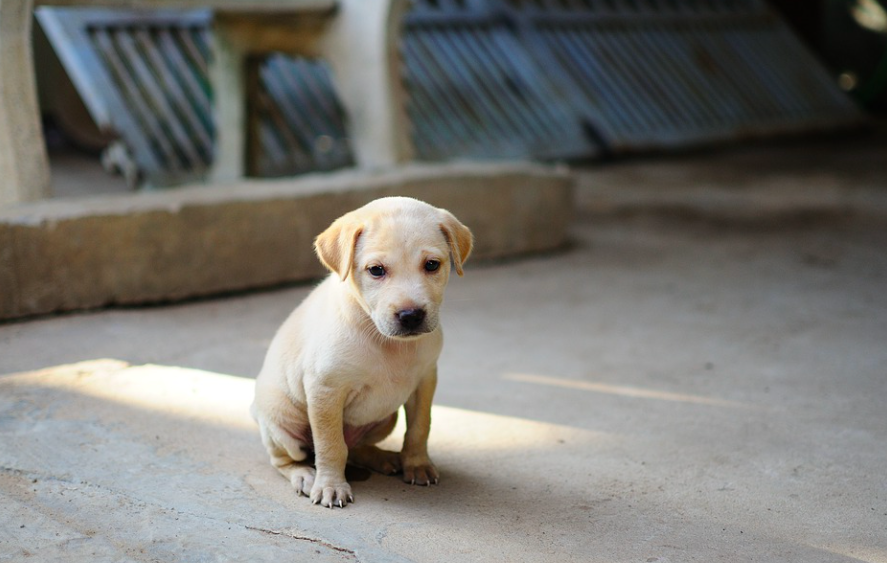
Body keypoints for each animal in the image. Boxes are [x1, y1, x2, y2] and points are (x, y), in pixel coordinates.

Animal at [251, 196, 472, 508]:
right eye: (376, 270)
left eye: (431, 265)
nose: (411, 316)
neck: (386, 343)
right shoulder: (325, 390)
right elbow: (330, 444)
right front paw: (331, 486)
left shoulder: (425, 380)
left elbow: (420, 427)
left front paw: (417, 464)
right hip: (281, 419)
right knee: (288, 458)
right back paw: (305, 475)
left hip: (385, 418)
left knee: (355, 448)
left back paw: (382, 458)